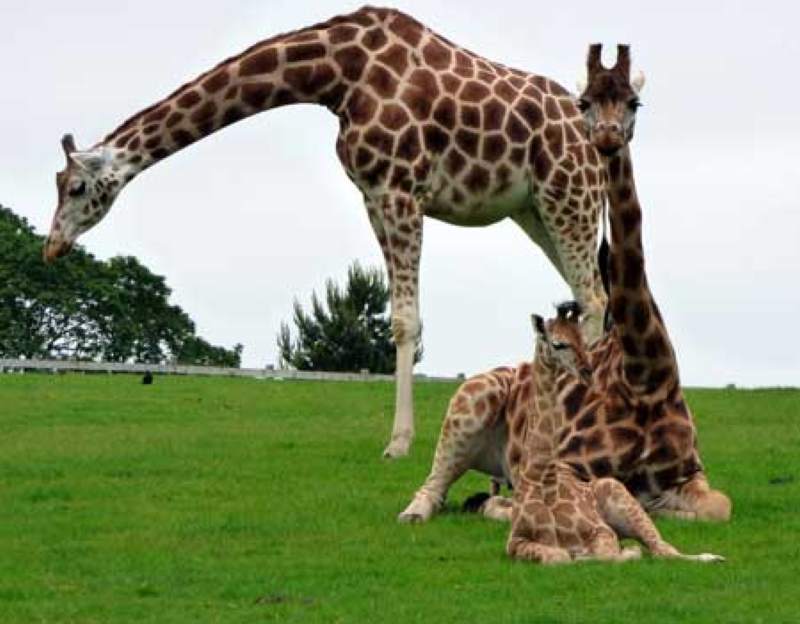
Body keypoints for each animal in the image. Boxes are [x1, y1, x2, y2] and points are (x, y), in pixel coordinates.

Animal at [43, 6, 608, 459]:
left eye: (74, 187)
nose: (51, 247)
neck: (337, 73)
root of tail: (598, 146)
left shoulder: (400, 190)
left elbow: (406, 322)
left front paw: (398, 443)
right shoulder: (373, 197)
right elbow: (399, 319)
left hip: (569, 196)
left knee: (597, 297)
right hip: (535, 210)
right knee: (588, 295)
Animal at [399, 44, 731, 522]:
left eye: (634, 102)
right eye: (583, 102)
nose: (607, 138)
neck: (646, 379)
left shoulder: (686, 473)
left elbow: (716, 506)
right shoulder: (568, 463)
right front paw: (504, 507)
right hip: (470, 397)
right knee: (437, 481)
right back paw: (423, 509)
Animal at [507, 303, 722, 564]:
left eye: (582, 339)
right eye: (558, 343)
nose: (587, 370)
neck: (544, 480)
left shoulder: (601, 530)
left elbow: (603, 554)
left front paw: (623, 552)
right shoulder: (514, 541)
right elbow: (558, 556)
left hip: (624, 499)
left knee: (663, 549)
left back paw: (712, 557)